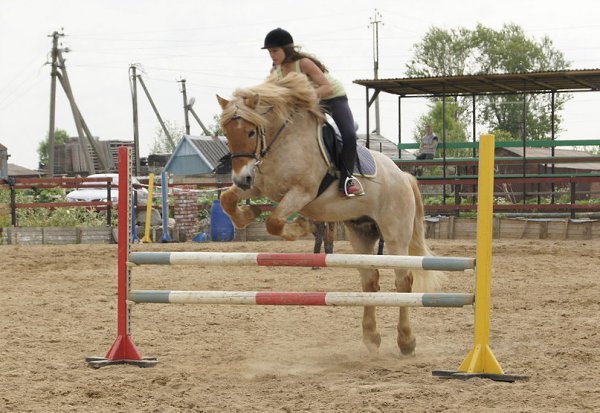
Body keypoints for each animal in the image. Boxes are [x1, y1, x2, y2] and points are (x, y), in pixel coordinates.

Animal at [216, 71, 440, 354]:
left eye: (250, 132)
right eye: (227, 133)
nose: (241, 178)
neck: (282, 141)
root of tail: (403, 176)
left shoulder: (302, 191)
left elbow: (275, 222)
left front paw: (301, 225)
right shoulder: (260, 185)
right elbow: (227, 199)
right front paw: (248, 213)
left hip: (395, 235)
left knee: (403, 281)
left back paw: (406, 340)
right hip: (362, 232)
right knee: (370, 280)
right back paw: (371, 336)